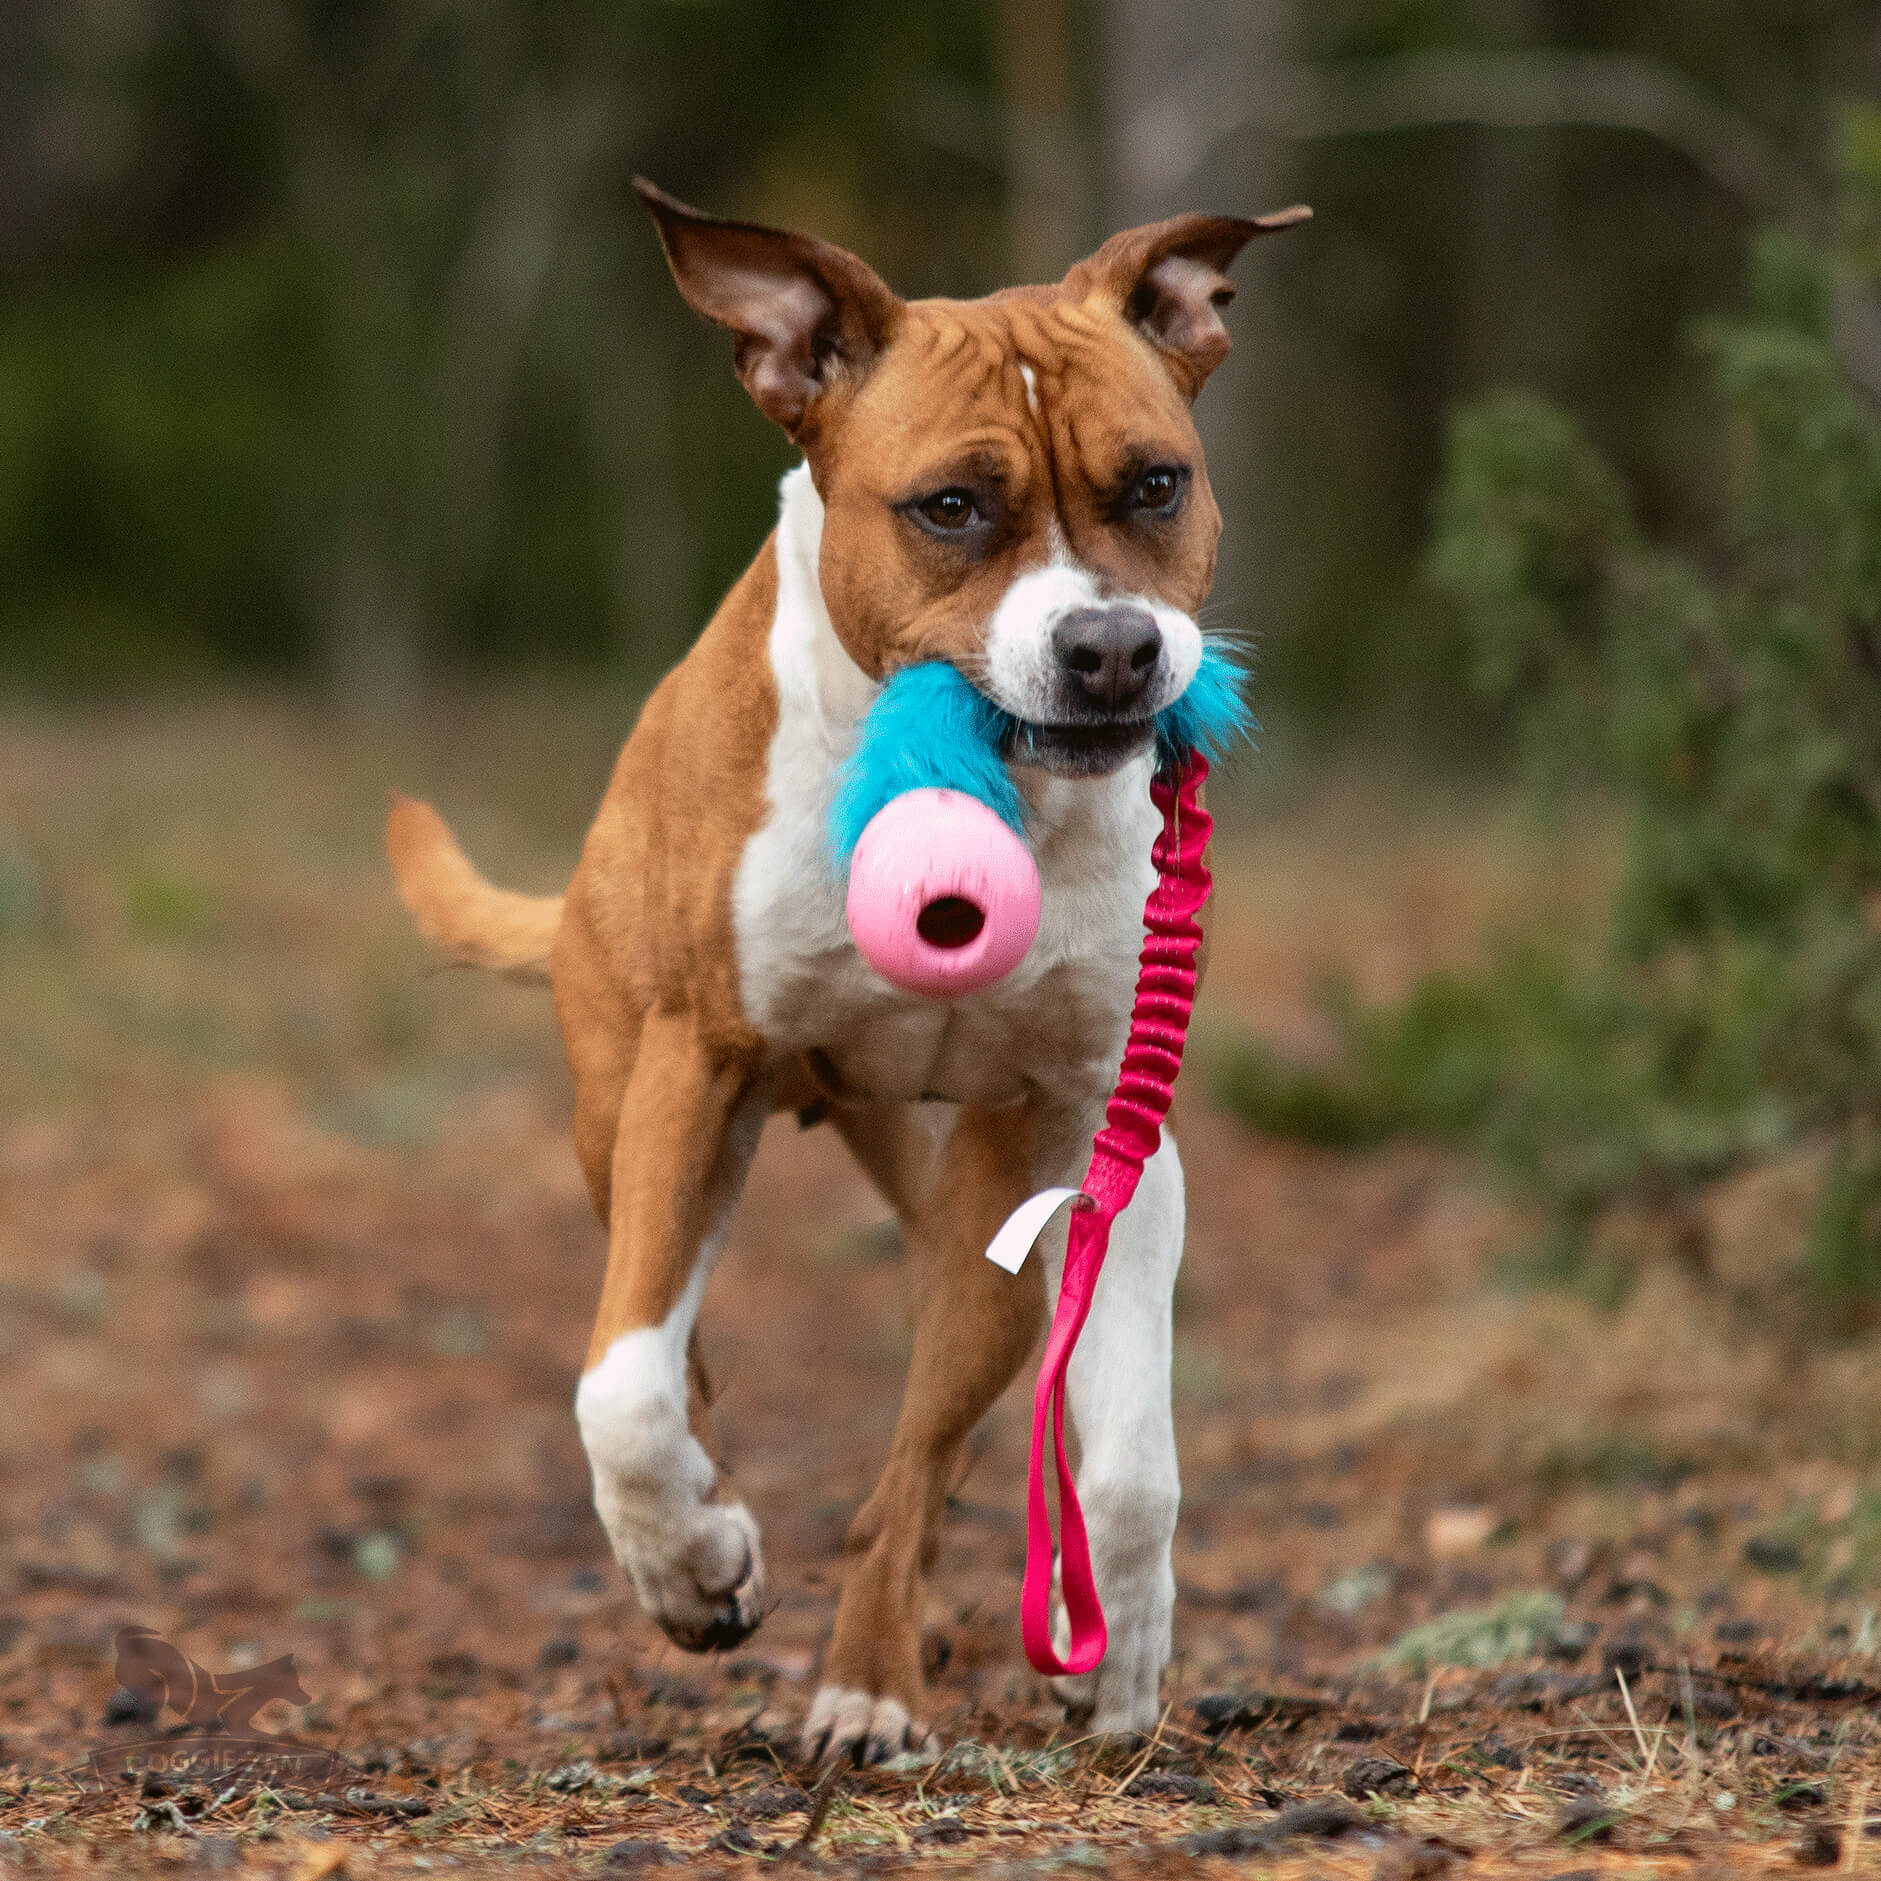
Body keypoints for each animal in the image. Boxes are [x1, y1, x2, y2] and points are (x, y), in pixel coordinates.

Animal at [387, 183, 1309, 1768]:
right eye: (950, 507)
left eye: (1155, 485)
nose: (1114, 647)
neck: (973, 786)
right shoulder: (694, 1070)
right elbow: (622, 1387)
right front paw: (692, 1563)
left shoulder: (1100, 1120)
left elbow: (1131, 1455)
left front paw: (1118, 1661)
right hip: (616, 1110)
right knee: (662, 1334)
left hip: (973, 1226)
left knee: (922, 1454)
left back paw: (870, 1684)